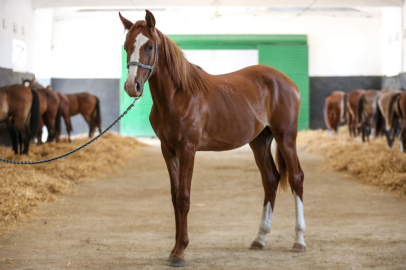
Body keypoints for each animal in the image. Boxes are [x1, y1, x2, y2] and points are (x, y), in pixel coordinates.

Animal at [119, 11, 306, 268]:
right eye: (126, 46)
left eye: (149, 46)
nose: (131, 86)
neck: (179, 95)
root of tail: (288, 82)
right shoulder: (168, 150)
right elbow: (174, 197)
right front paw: (173, 249)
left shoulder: (187, 149)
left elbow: (183, 198)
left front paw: (180, 252)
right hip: (260, 141)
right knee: (271, 180)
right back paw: (259, 239)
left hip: (286, 137)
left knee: (296, 178)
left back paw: (299, 240)